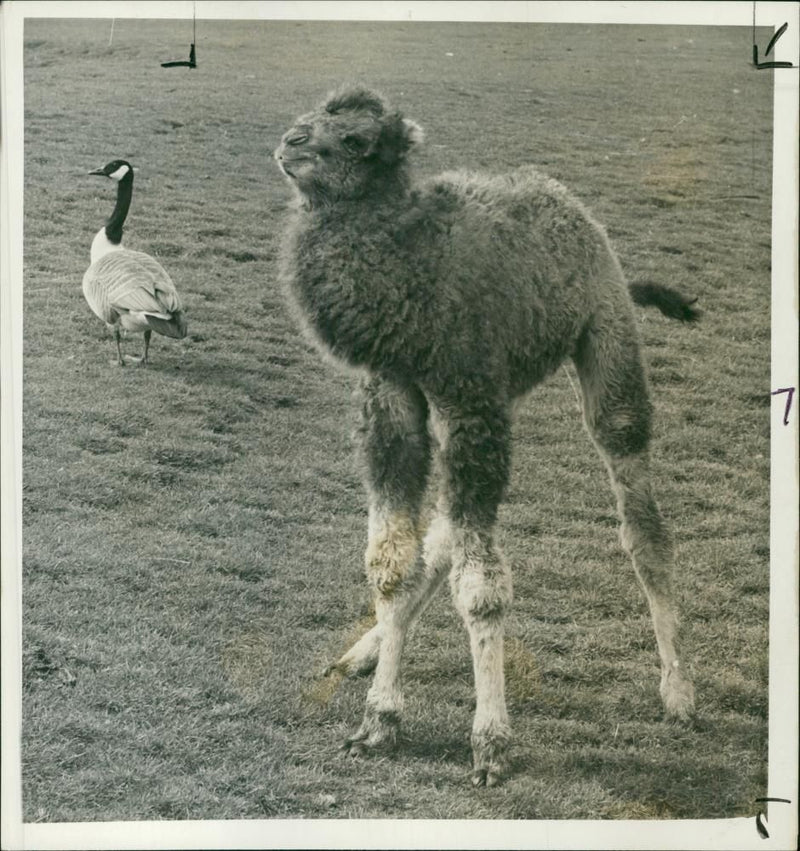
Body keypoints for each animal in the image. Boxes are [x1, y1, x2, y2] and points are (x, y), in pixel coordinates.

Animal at [274, 85, 692, 784]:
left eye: (357, 141)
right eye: (317, 114)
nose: (291, 143)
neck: (412, 266)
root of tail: (577, 213)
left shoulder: (467, 395)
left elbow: (483, 590)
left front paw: (490, 743)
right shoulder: (394, 396)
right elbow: (391, 563)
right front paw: (378, 720)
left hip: (605, 332)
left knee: (640, 515)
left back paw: (679, 692)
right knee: (445, 530)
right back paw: (362, 652)